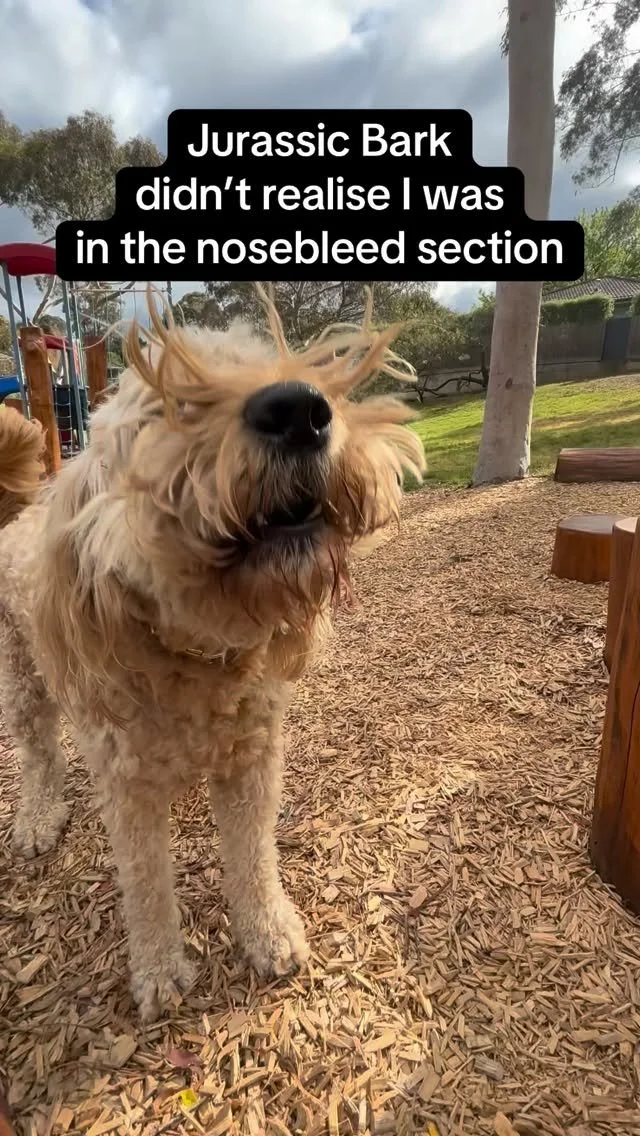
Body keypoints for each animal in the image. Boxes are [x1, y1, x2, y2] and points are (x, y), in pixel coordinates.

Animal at [0, 286, 425, 1022]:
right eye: (169, 407)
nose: (299, 409)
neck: (194, 659)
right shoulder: (130, 792)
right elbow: (146, 884)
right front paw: (160, 971)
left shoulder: (252, 762)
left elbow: (253, 857)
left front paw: (269, 933)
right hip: (24, 678)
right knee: (38, 753)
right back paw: (37, 817)